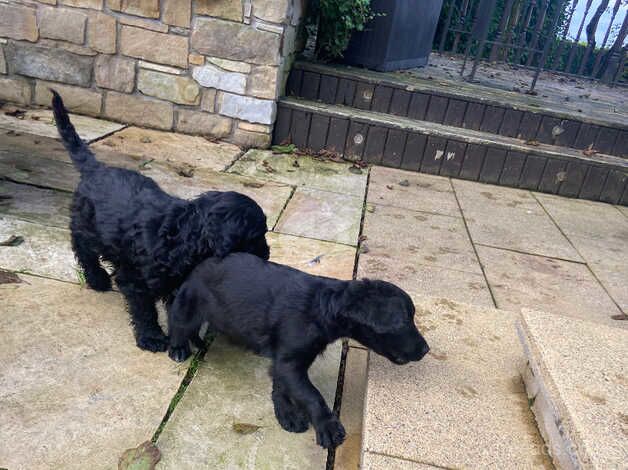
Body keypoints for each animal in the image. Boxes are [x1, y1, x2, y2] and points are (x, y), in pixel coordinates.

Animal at [167, 252, 432, 450]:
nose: (426, 349)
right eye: (404, 321)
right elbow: (312, 395)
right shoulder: (290, 362)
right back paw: (178, 349)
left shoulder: (284, 361)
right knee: (178, 323)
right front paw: (326, 426)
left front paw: (286, 414)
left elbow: (283, 386)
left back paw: (201, 344)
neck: (323, 306)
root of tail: (197, 266)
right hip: (189, 304)